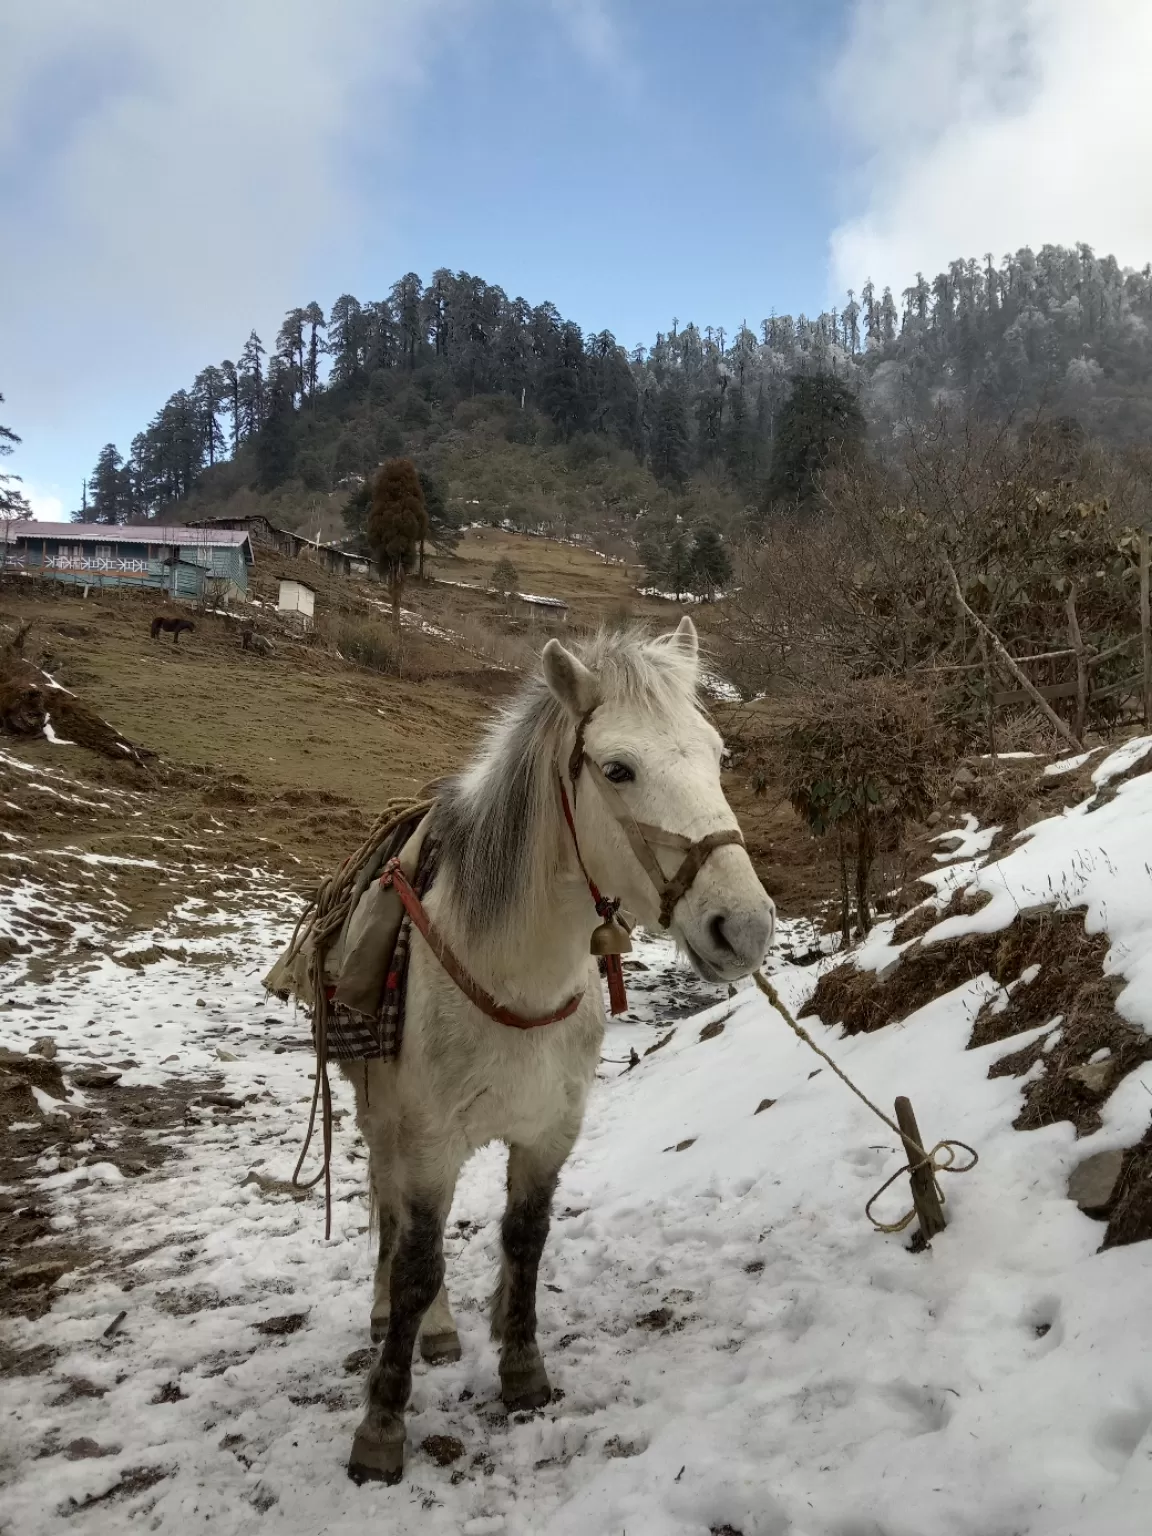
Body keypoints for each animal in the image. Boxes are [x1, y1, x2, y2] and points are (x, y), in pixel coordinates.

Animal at [342, 617, 777, 1480]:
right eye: (617, 769)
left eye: (717, 756)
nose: (743, 930)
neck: (515, 978)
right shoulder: (429, 1144)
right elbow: (417, 1264)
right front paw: (382, 1425)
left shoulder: (549, 1135)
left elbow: (526, 1240)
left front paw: (522, 1371)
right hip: (381, 1121)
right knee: (390, 1216)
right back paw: (407, 1324)